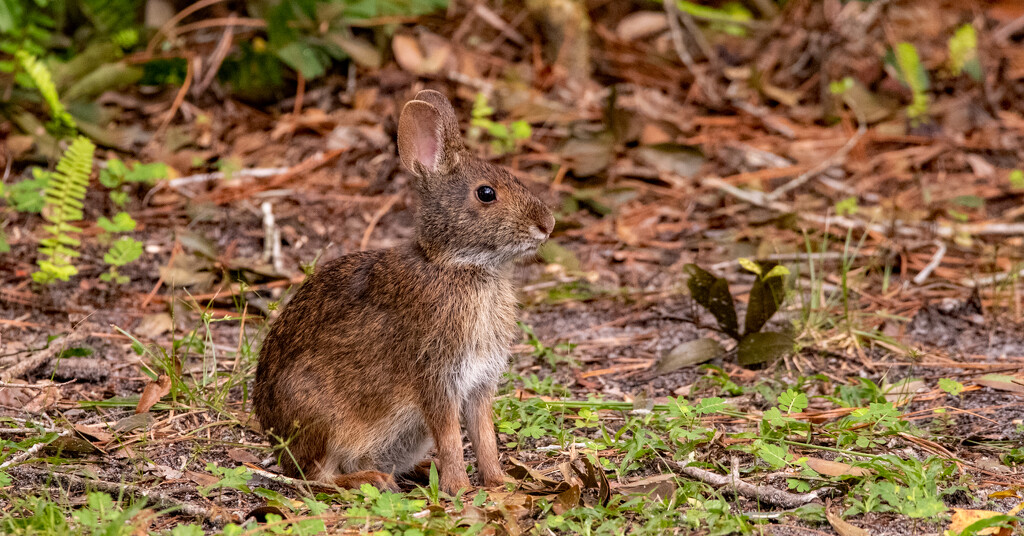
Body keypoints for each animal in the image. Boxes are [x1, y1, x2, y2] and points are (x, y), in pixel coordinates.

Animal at [252, 89, 557, 496]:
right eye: (486, 193)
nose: (547, 224)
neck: (460, 265)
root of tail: (277, 441)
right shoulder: (436, 376)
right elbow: (450, 435)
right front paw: (460, 488)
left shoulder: (479, 384)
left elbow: (484, 434)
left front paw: (498, 482)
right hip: (321, 418)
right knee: (317, 476)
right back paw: (372, 480)